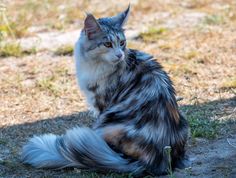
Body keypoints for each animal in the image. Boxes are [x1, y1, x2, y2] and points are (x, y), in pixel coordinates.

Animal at [21, 5, 189, 177]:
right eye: (107, 44)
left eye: (122, 42)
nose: (120, 55)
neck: (95, 65)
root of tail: (158, 160)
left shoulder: (100, 103)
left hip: (107, 123)